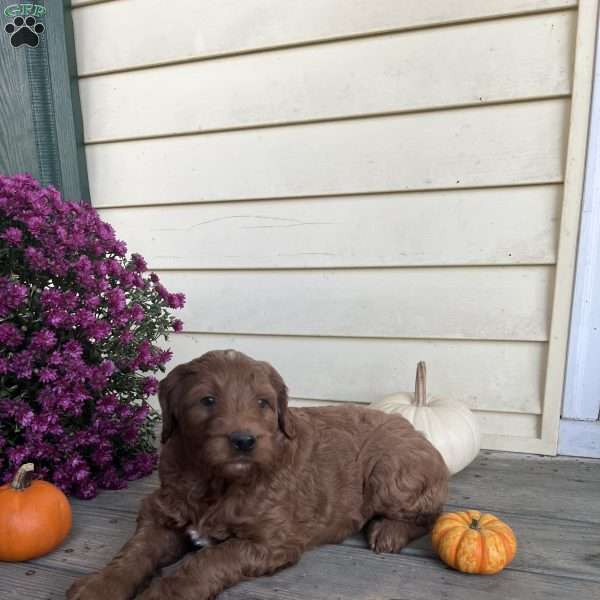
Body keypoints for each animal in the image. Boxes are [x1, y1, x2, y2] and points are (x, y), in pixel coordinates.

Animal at [68, 350, 448, 596]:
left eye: (263, 403)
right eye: (207, 401)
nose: (244, 440)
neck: (216, 481)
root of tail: (414, 429)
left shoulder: (271, 539)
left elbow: (210, 559)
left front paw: (164, 594)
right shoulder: (161, 513)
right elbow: (135, 551)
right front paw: (97, 586)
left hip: (389, 472)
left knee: (431, 512)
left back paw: (388, 532)